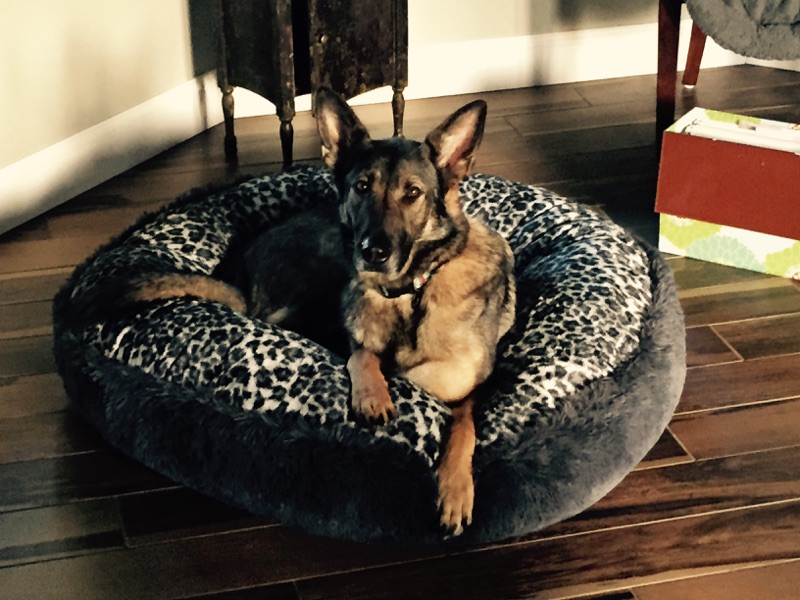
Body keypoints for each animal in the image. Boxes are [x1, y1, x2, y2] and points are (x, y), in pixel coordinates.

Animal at [74, 88, 515, 536]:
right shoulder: (355, 328)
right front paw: (372, 393)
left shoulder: (469, 389)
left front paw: (456, 490)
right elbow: (361, 353)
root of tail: (242, 264)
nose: (372, 252)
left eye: (412, 193)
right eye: (362, 187)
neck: (407, 295)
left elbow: (465, 426)